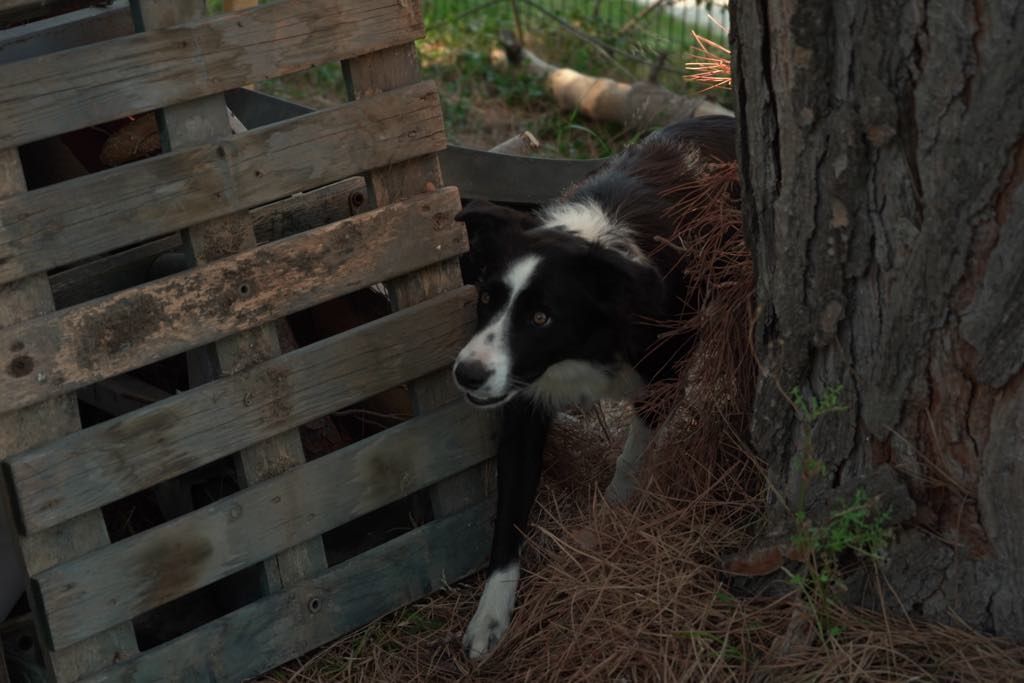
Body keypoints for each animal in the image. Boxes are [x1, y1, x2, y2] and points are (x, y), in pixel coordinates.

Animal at [452, 116, 733, 655]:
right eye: (486, 298)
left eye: (541, 318)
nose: (467, 374)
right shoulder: (523, 402)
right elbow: (509, 510)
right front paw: (490, 616)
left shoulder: (664, 375)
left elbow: (632, 455)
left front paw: (612, 515)